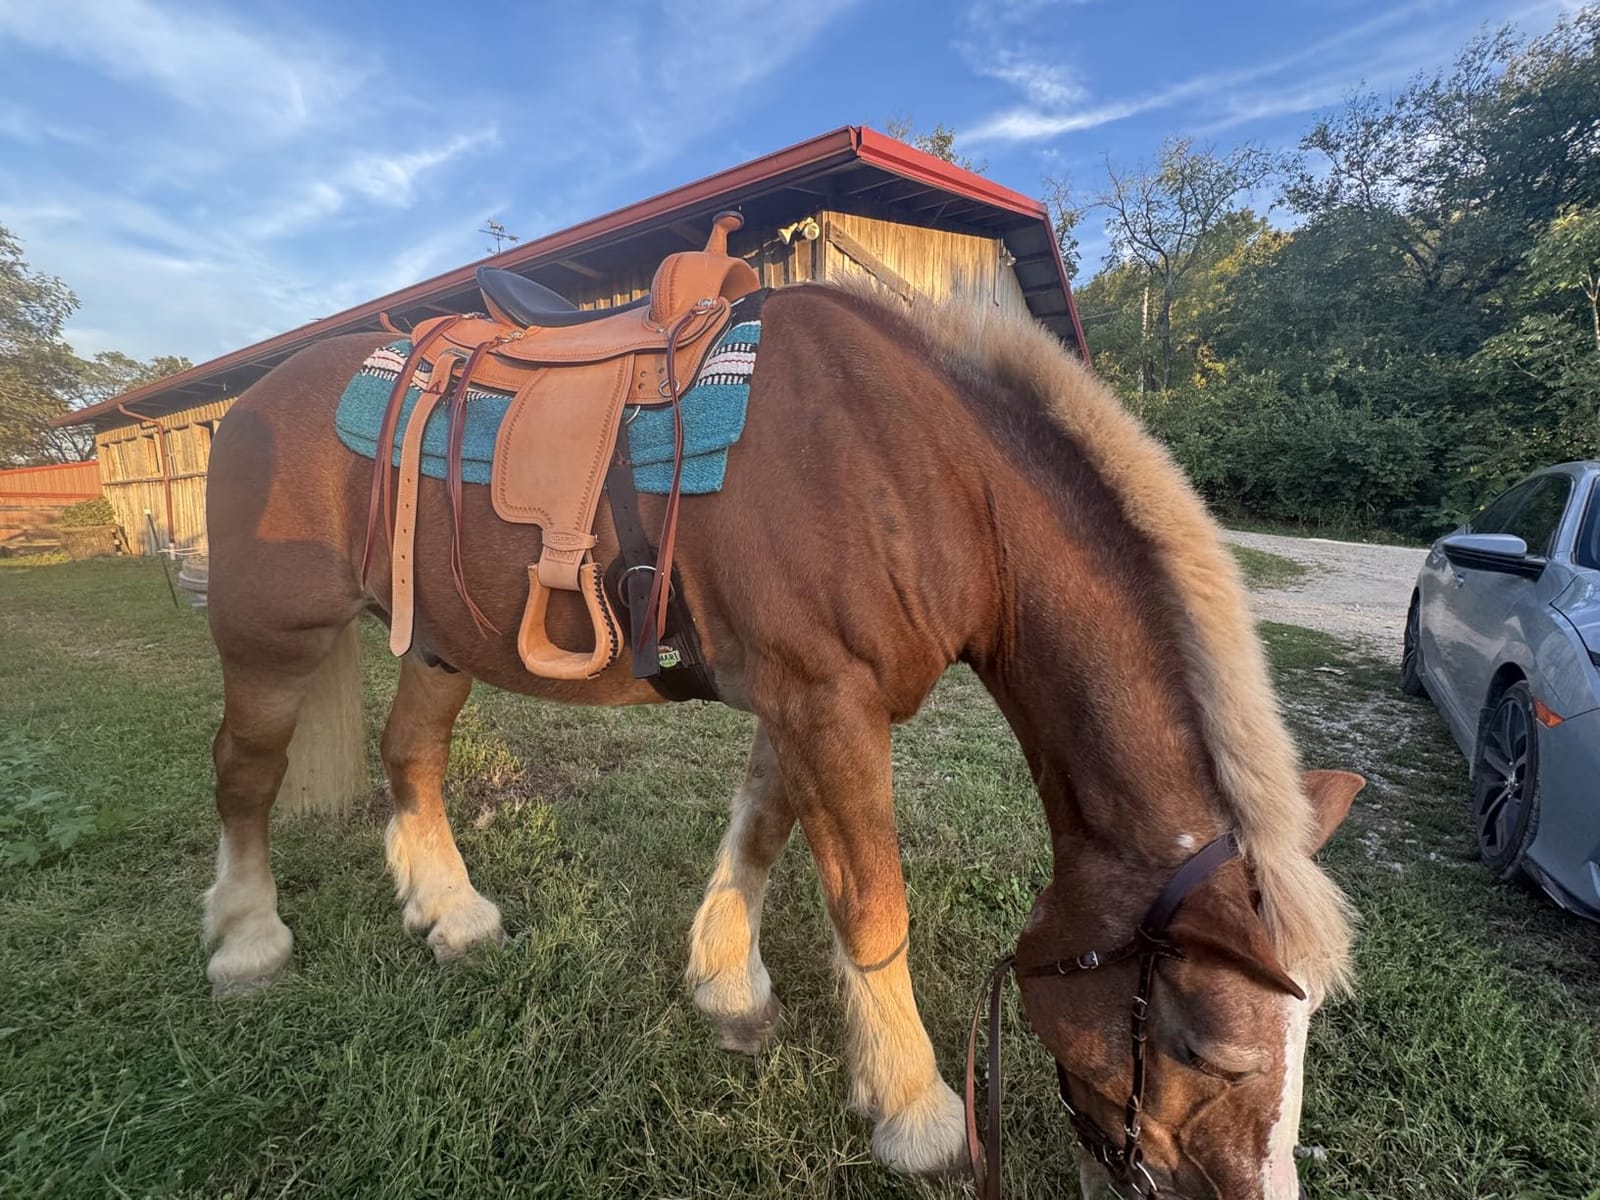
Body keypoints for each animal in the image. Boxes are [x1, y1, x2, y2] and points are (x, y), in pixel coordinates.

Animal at [200, 278, 1361, 1198]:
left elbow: (761, 831)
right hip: (271, 638)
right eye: (1205, 1046)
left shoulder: (799, 701)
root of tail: (253, 400)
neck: (929, 475)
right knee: (245, 776)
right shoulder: (825, 700)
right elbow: (870, 900)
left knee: (412, 758)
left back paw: (449, 912)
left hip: (439, 645)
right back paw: (247, 938)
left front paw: (726, 984)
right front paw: (914, 1108)